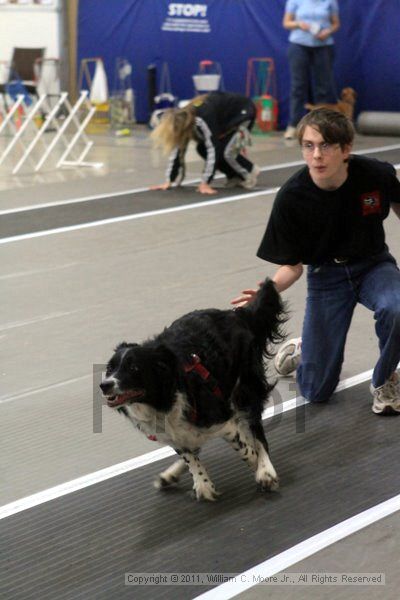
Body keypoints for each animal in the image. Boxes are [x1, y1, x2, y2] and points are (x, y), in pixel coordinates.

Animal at [101, 282, 286, 502]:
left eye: (134, 368)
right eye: (109, 368)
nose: (104, 385)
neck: (162, 399)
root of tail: (236, 314)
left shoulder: (221, 419)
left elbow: (245, 448)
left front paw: (258, 466)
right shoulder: (174, 433)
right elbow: (189, 456)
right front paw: (202, 483)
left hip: (246, 388)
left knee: (256, 431)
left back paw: (265, 470)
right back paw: (170, 475)